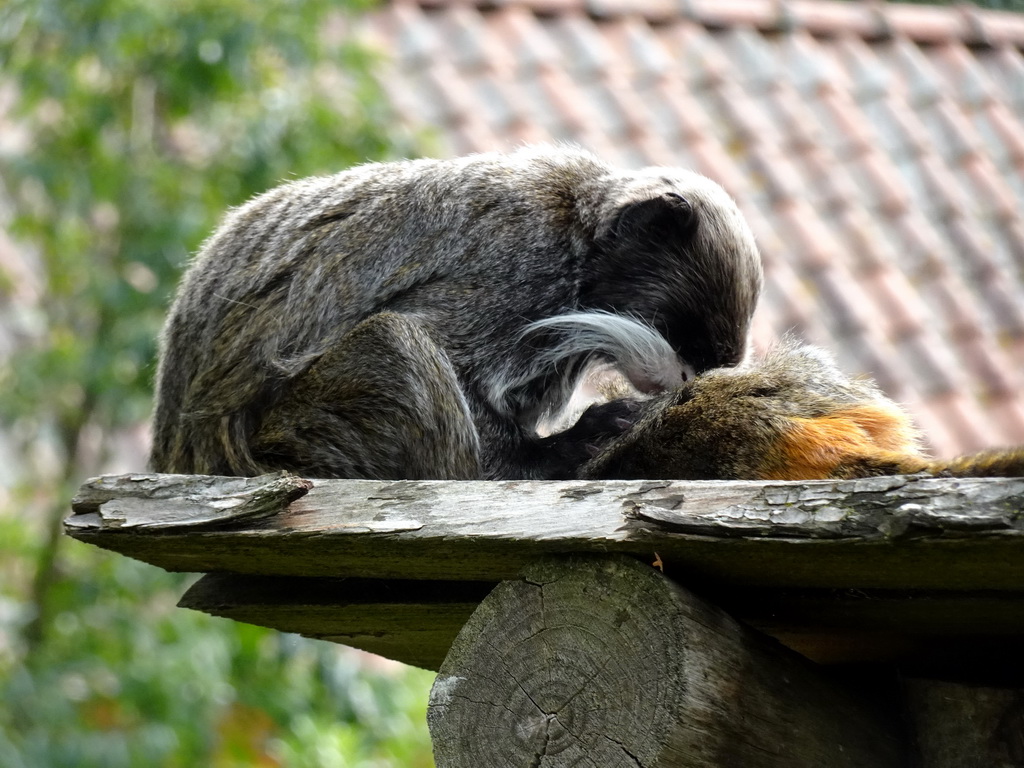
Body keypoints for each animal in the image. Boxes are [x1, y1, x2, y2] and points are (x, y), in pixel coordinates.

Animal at [148, 145, 765, 481]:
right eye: (686, 348)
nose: (680, 381)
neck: (579, 244)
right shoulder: (514, 263)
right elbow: (444, 346)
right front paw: (551, 455)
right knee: (395, 343)